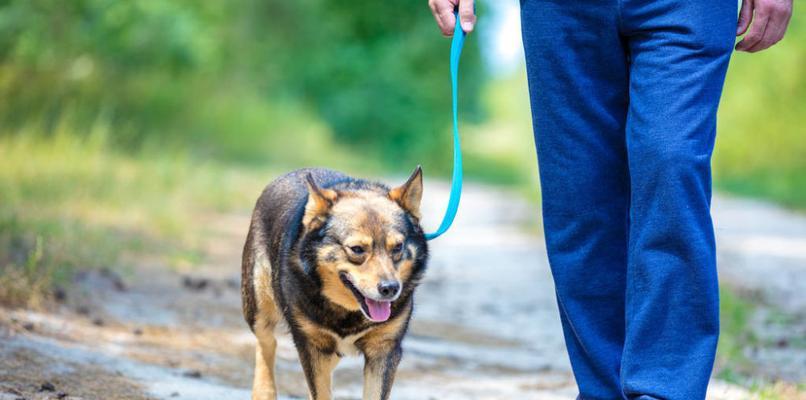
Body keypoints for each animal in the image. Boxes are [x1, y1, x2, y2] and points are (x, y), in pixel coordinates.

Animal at [240, 167, 430, 400]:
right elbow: (320, 391)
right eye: (357, 249)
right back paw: (264, 391)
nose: (391, 289)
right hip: (258, 305)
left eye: (398, 247)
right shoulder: (312, 346)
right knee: (266, 342)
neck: (348, 312)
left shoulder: (384, 349)